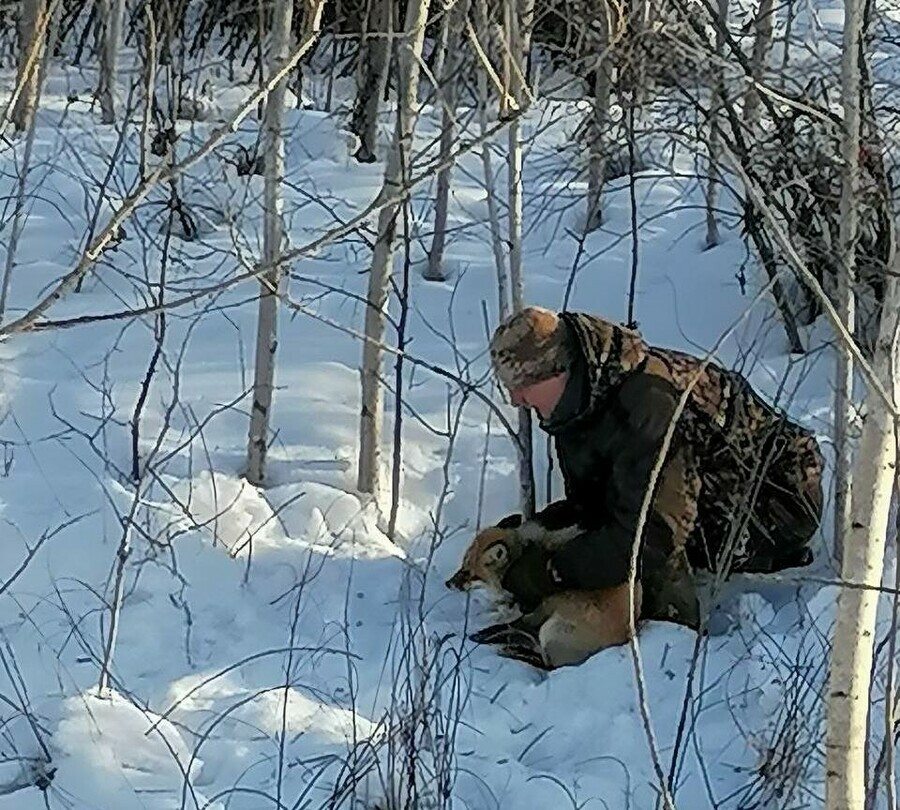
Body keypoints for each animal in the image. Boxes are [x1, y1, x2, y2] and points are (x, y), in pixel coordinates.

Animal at [442, 520, 640, 672]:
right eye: (462, 567)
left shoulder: (537, 611)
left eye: (468, 573)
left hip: (551, 629)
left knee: (549, 665)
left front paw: (477, 636)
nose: (447, 584)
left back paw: (515, 651)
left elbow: (504, 628)